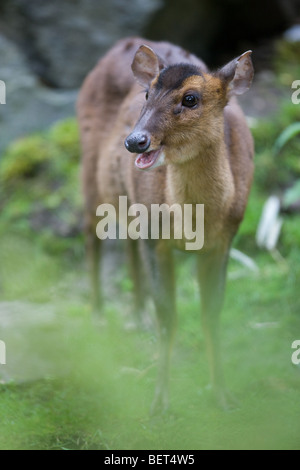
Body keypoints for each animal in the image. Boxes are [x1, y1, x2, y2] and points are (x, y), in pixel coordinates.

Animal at [77, 37, 253, 414]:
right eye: (147, 94)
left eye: (191, 98)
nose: (135, 141)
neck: (195, 223)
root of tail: (120, 44)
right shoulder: (156, 235)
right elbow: (168, 315)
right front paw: (159, 401)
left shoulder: (225, 239)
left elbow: (211, 313)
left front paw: (224, 396)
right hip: (91, 170)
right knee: (90, 233)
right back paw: (98, 316)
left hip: (129, 202)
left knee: (126, 242)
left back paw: (136, 315)